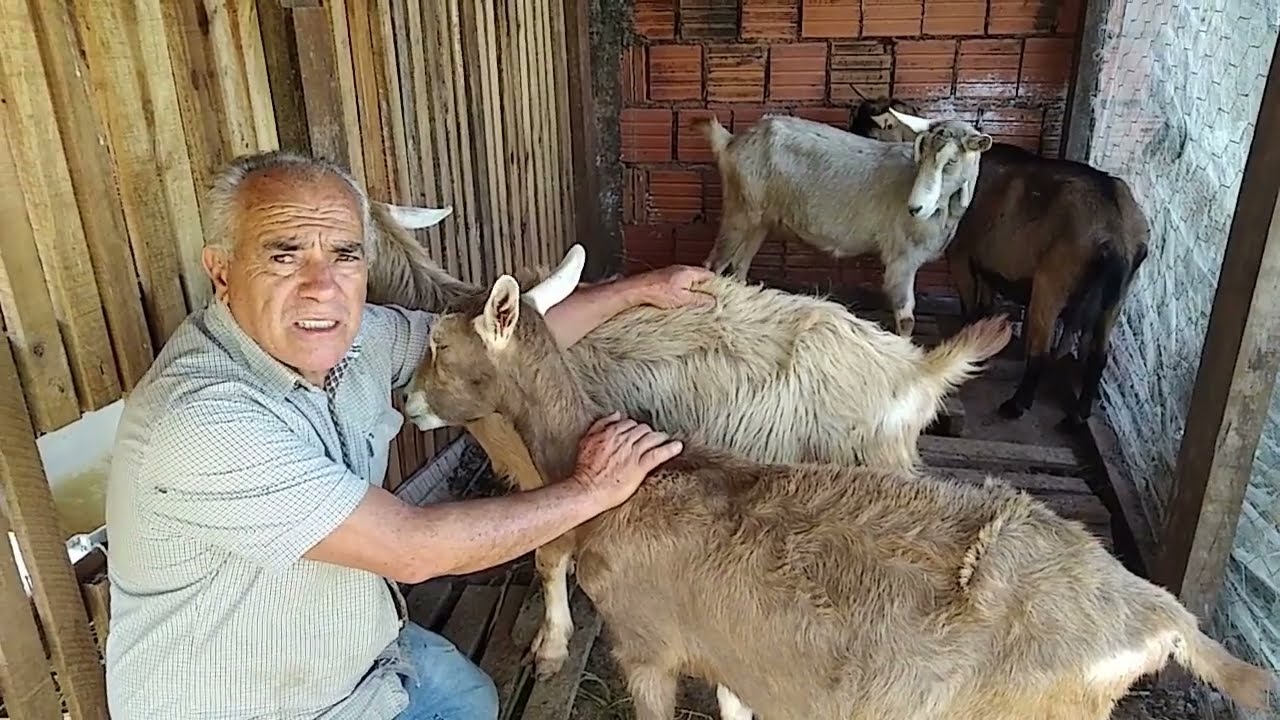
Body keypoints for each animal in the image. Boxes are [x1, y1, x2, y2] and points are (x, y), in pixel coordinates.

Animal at [400, 273, 1275, 720]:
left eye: (437, 344)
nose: (404, 402)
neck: (632, 486)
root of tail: (1160, 617)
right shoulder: (733, 650)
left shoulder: (646, 646)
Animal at [695, 112, 993, 337]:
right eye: (920, 157)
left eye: (952, 161)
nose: (915, 207)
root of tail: (730, 142)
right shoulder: (902, 257)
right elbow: (906, 318)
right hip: (739, 209)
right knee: (714, 266)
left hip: (760, 220)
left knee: (739, 267)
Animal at [850, 102, 1151, 426]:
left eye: (878, 126)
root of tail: (1116, 230)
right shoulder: (986, 263)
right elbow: (985, 304)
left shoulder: (962, 253)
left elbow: (970, 306)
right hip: (1116, 296)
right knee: (1098, 354)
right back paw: (1078, 414)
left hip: (1053, 281)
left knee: (1041, 350)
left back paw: (1017, 404)